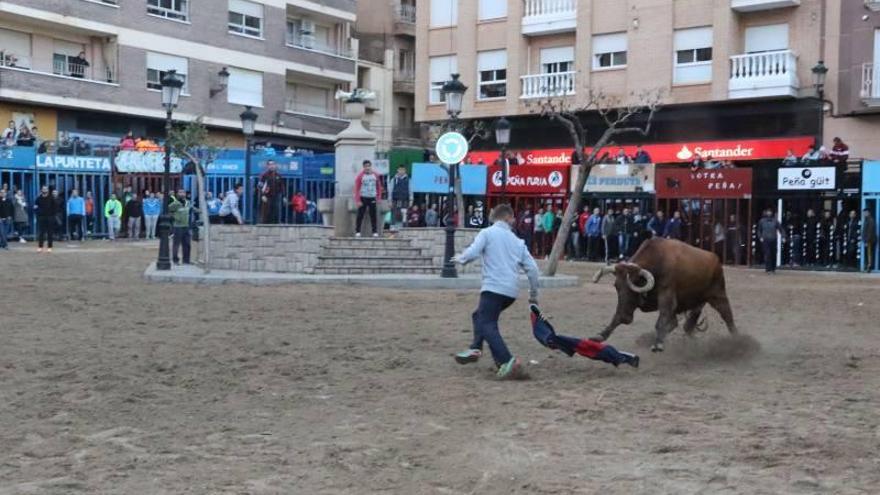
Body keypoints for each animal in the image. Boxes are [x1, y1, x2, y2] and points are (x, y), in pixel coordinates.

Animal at [592, 237, 736, 350]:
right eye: (617, 287)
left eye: (632, 286)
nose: (626, 318)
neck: (658, 259)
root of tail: (717, 260)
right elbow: (617, 317)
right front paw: (600, 335)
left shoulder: (667, 296)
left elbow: (662, 319)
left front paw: (658, 344)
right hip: (698, 301)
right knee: (680, 323)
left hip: (718, 294)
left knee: (727, 315)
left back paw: (736, 339)